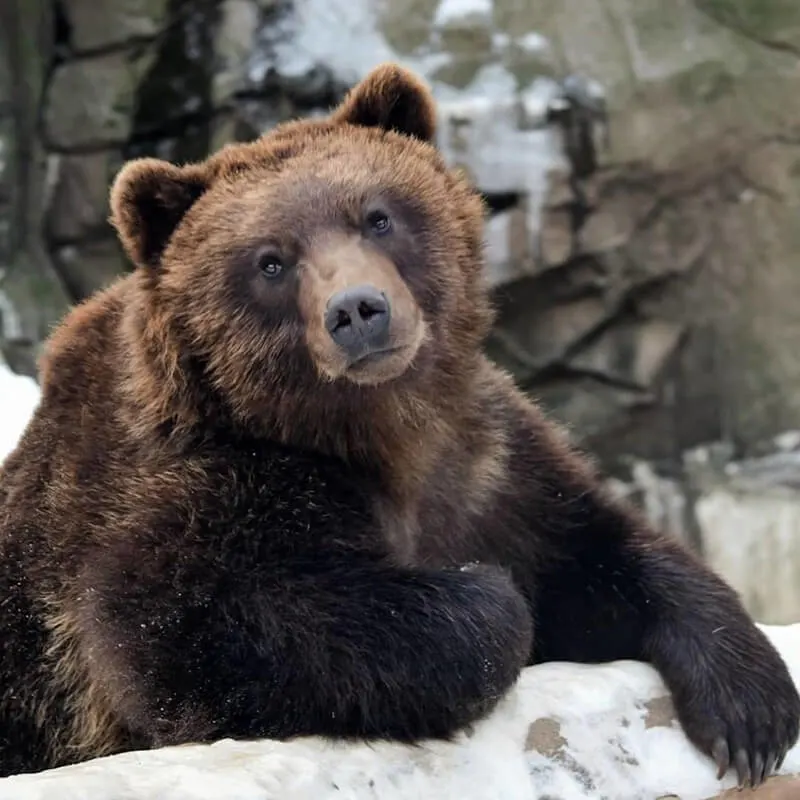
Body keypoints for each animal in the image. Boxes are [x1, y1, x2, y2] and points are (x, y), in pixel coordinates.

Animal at [0, 64, 796, 788]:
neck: (380, 429)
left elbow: (599, 549)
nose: (358, 309)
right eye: (271, 261)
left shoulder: (488, 467)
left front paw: (751, 708)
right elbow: (186, 625)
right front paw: (484, 598)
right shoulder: (204, 486)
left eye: (377, 215)